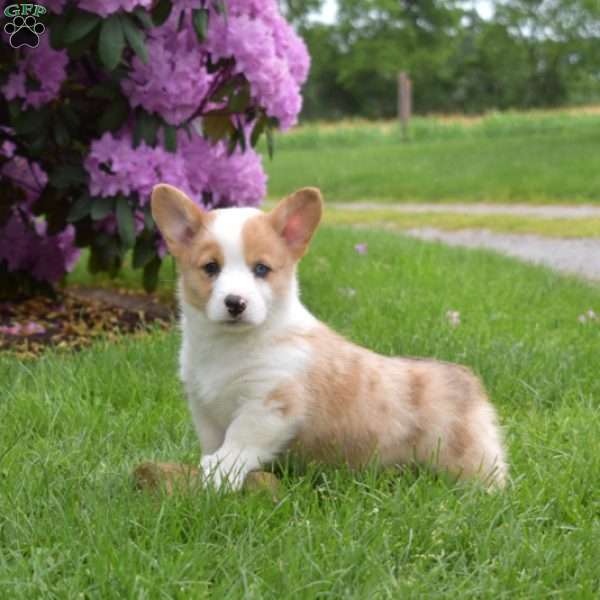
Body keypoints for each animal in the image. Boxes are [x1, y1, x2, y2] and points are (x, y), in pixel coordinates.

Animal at [150, 183, 506, 488]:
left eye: (261, 269)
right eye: (211, 267)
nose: (235, 303)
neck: (227, 345)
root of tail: (468, 380)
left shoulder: (269, 402)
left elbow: (241, 438)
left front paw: (221, 470)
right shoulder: (203, 407)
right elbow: (214, 439)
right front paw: (210, 464)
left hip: (465, 458)